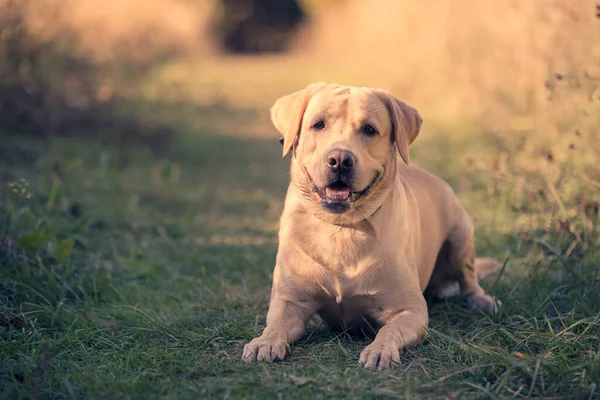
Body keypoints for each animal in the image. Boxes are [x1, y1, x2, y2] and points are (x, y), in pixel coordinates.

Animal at [241, 83, 500, 370]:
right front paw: (264, 342)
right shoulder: (290, 301)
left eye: (369, 129)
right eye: (318, 124)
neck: (341, 228)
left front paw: (380, 350)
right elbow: (275, 324)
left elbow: (389, 330)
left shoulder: (410, 310)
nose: (340, 159)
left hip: (460, 234)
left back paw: (482, 300)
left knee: (468, 278)